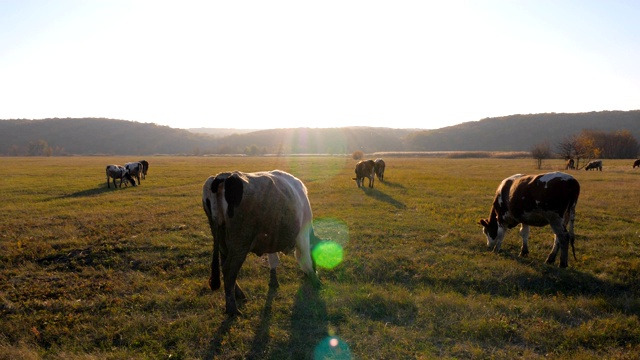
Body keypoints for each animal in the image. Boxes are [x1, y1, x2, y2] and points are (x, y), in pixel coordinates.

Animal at [202, 169, 322, 316]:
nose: (316, 272)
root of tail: (222, 177)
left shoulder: (271, 237)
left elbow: (273, 259)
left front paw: (274, 281)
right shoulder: (302, 233)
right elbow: (305, 256)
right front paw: (315, 279)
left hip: (222, 240)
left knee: (224, 265)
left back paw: (238, 294)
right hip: (240, 242)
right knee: (229, 270)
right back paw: (232, 309)